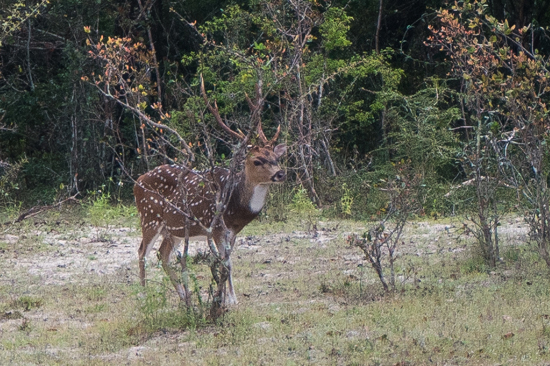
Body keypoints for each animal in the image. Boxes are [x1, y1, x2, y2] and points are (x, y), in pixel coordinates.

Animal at [135, 81, 286, 304]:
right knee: (142, 252)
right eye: (257, 160)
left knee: (163, 255)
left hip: (172, 229)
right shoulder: (215, 226)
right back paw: (145, 297)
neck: (235, 206)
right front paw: (230, 300)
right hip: (149, 217)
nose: (280, 174)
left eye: (276, 158)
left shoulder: (232, 232)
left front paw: (228, 298)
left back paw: (184, 296)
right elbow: (225, 263)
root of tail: (137, 182)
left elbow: (229, 261)